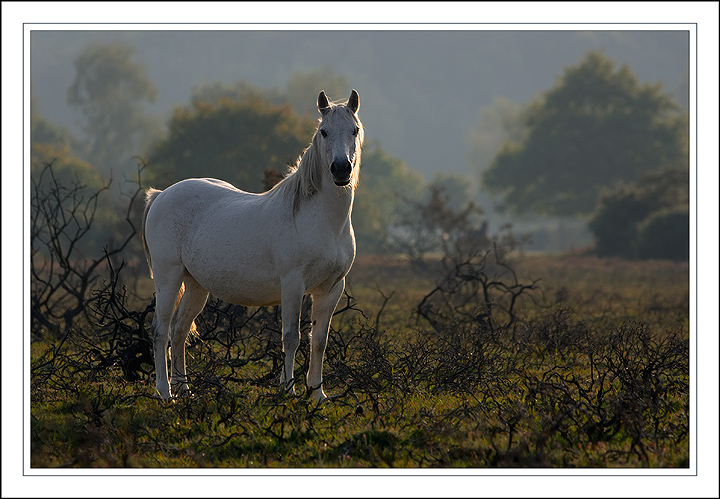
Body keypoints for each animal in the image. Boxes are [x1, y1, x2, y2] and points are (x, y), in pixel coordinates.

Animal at [142, 90, 364, 402]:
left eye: (354, 130)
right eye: (323, 131)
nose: (341, 169)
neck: (323, 221)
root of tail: (161, 195)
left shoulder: (331, 289)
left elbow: (319, 340)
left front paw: (318, 394)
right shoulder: (292, 284)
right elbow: (291, 338)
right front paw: (288, 390)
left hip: (196, 285)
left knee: (179, 330)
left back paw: (185, 390)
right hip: (168, 278)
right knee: (161, 331)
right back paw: (165, 391)